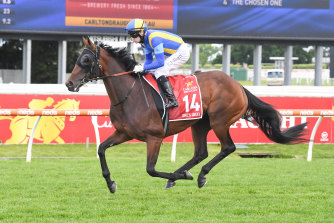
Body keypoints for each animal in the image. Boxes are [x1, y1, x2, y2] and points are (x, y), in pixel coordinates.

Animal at [64, 36, 306, 193]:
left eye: (86, 60)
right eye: (78, 59)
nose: (69, 84)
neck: (129, 95)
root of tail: (238, 85)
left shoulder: (154, 137)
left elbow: (151, 169)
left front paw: (180, 176)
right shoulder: (124, 132)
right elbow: (101, 149)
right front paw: (110, 183)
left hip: (219, 121)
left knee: (228, 147)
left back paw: (198, 175)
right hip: (199, 124)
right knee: (200, 152)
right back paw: (184, 174)